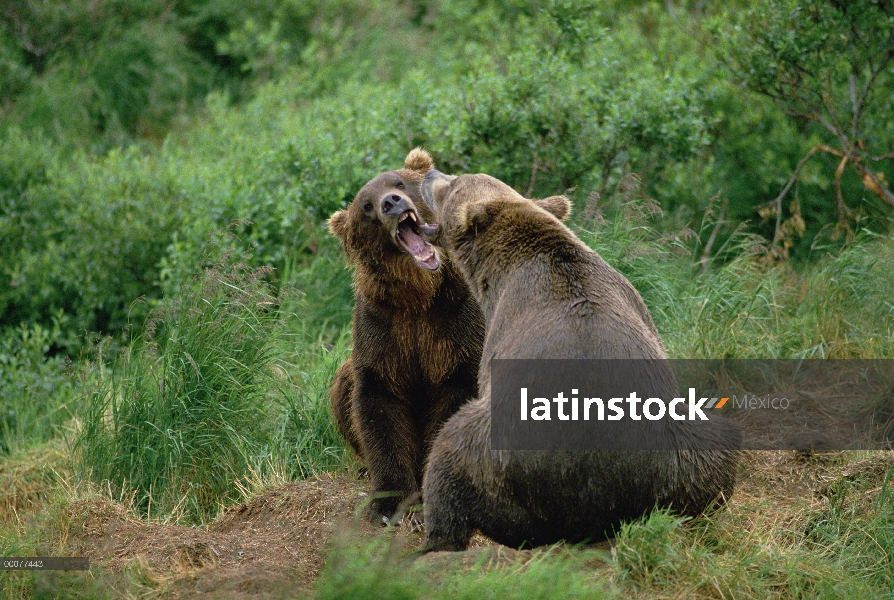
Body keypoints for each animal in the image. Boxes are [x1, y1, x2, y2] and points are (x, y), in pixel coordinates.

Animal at [328, 150, 486, 524]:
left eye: (399, 182)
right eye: (366, 207)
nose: (390, 203)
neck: (418, 295)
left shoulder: (454, 320)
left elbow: (455, 391)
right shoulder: (383, 326)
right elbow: (379, 401)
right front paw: (388, 503)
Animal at [420, 170, 744, 552]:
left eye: (453, 183)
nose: (430, 173)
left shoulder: (502, 326)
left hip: (494, 462)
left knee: (448, 449)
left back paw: (437, 538)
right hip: (679, 458)